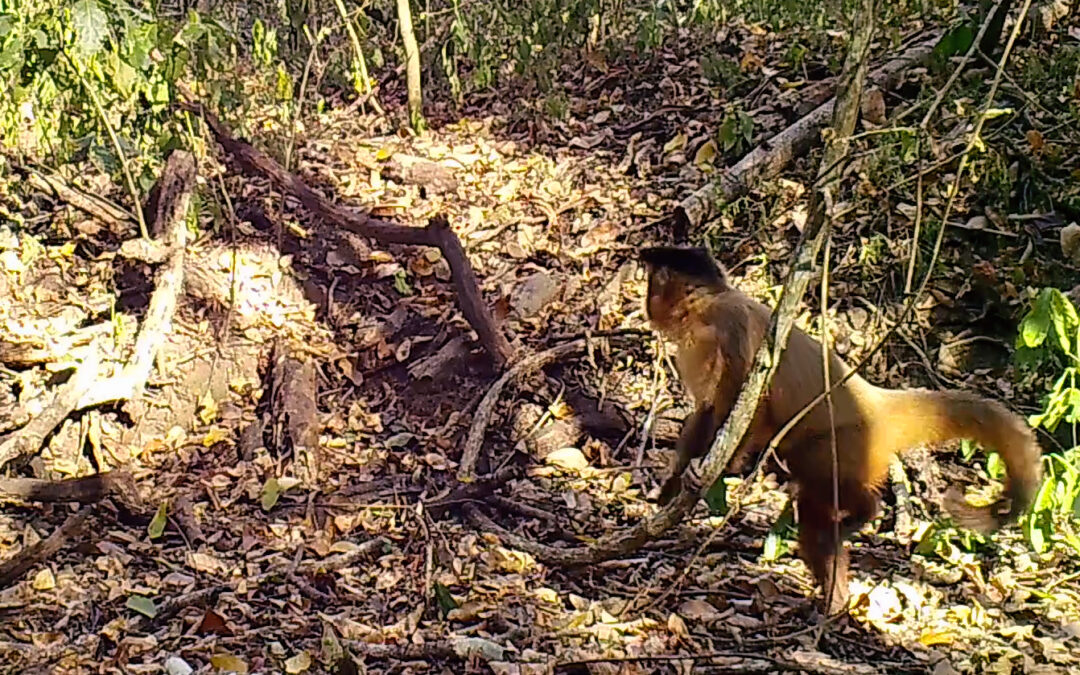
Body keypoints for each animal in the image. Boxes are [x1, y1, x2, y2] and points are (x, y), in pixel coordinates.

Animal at [635, 245, 1041, 613]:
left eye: (653, 285)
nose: (646, 305)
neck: (704, 313)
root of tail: (875, 401)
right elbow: (707, 412)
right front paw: (672, 488)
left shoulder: (730, 325)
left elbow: (755, 404)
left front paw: (717, 471)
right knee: (813, 510)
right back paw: (834, 601)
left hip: (851, 441)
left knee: (813, 466)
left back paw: (865, 513)